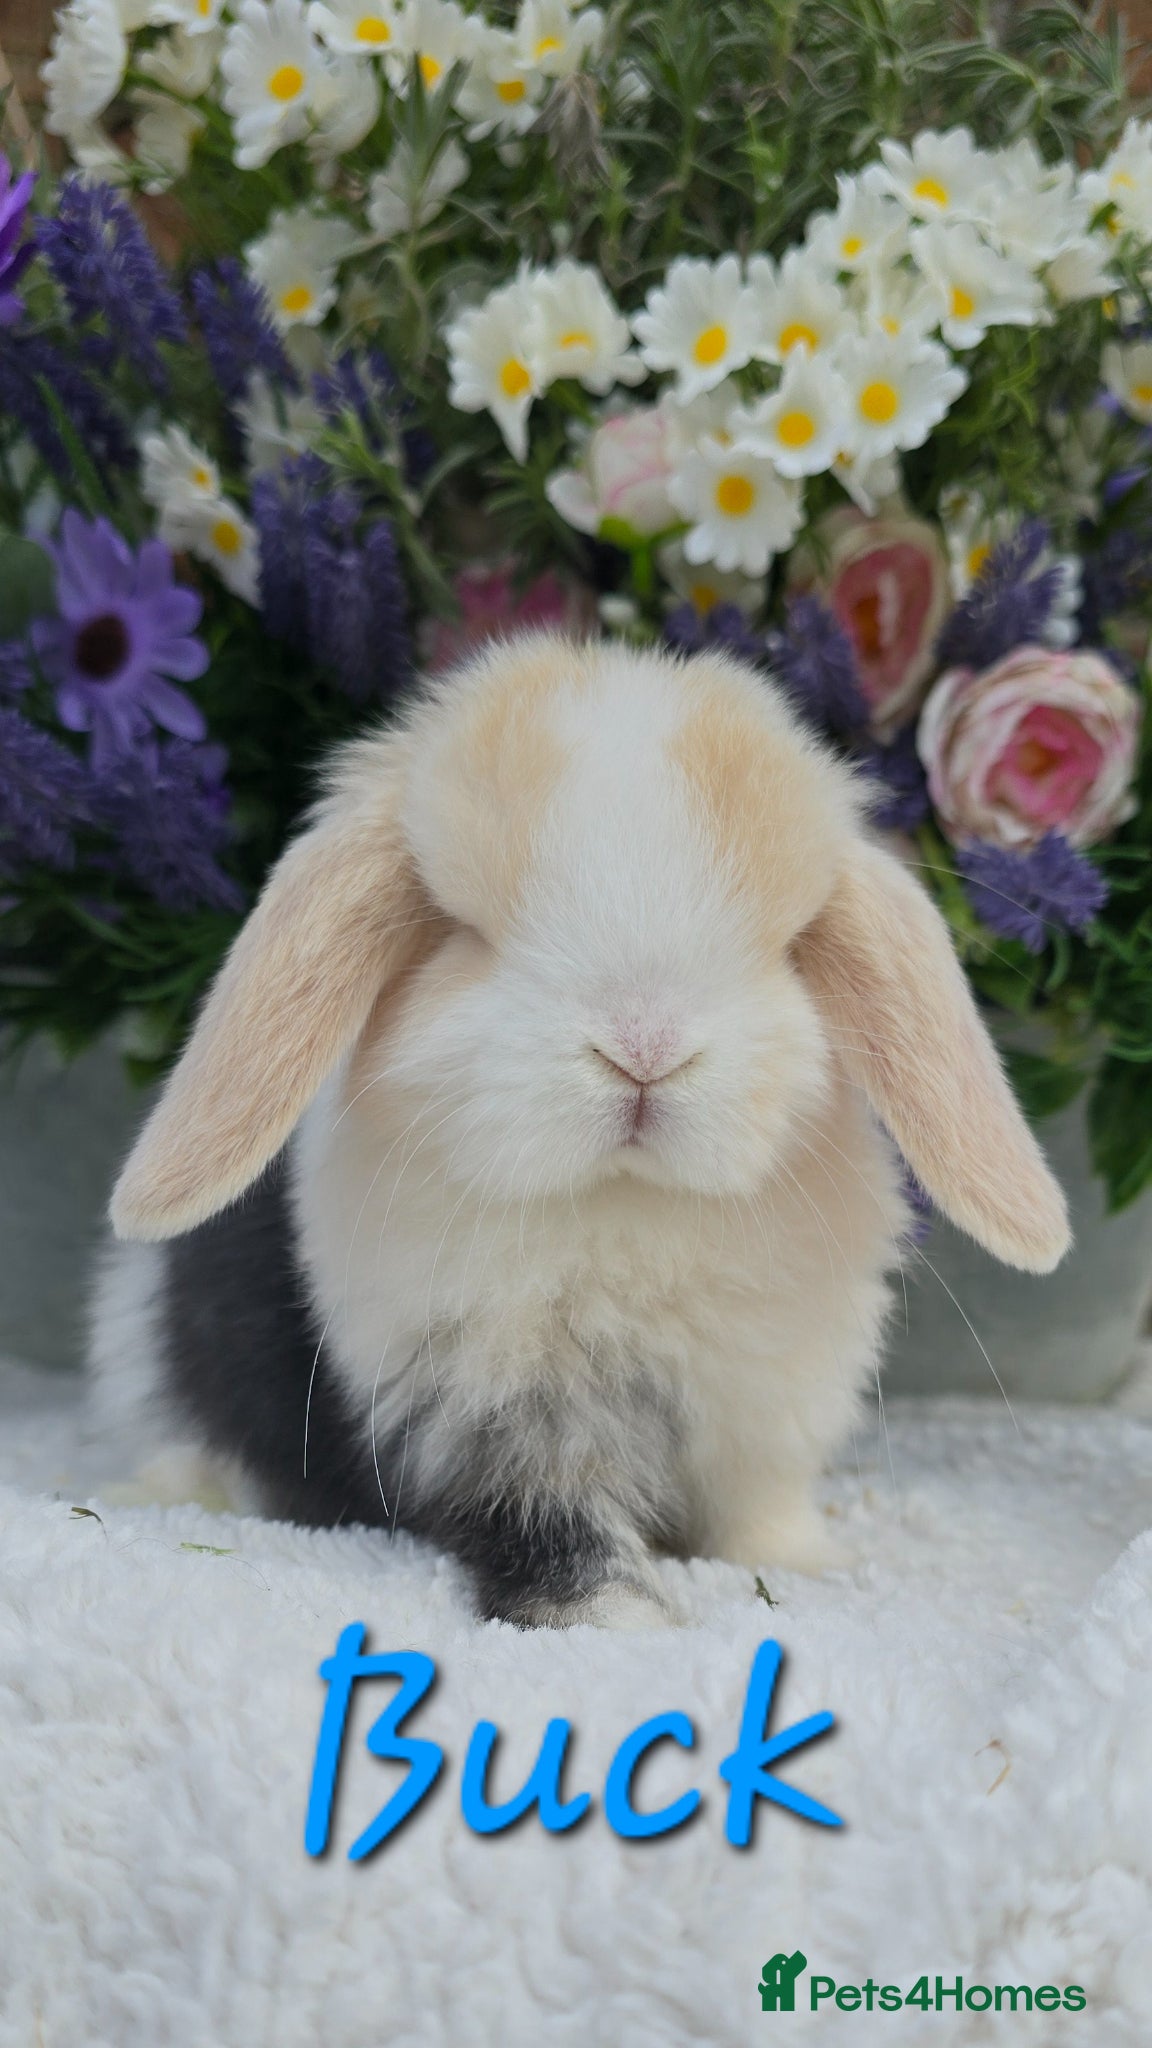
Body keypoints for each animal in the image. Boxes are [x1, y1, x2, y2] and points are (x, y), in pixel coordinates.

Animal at [91, 632, 1070, 1628]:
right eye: (465, 934)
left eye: (786, 945)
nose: (644, 1048)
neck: (624, 1206)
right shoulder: (497, 1423)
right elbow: (556, 1530)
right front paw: (622, 1619)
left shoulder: (762, 1410)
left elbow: (758, 1512)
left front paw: (807, 1568)